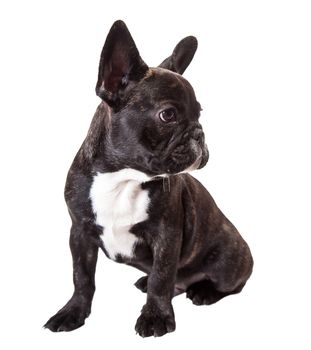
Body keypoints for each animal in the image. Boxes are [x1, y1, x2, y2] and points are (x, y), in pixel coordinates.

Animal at [44, 20, 254, 338]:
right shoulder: (79, 232)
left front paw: (156, 317)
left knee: (229, 284)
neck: (122, 177)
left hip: (228, 259)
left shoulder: (166, 235)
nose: (199, 133)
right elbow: (82, 277)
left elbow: (162, 277)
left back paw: (204, 292)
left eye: (199, 114)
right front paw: (73, 312)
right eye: (168, 115)